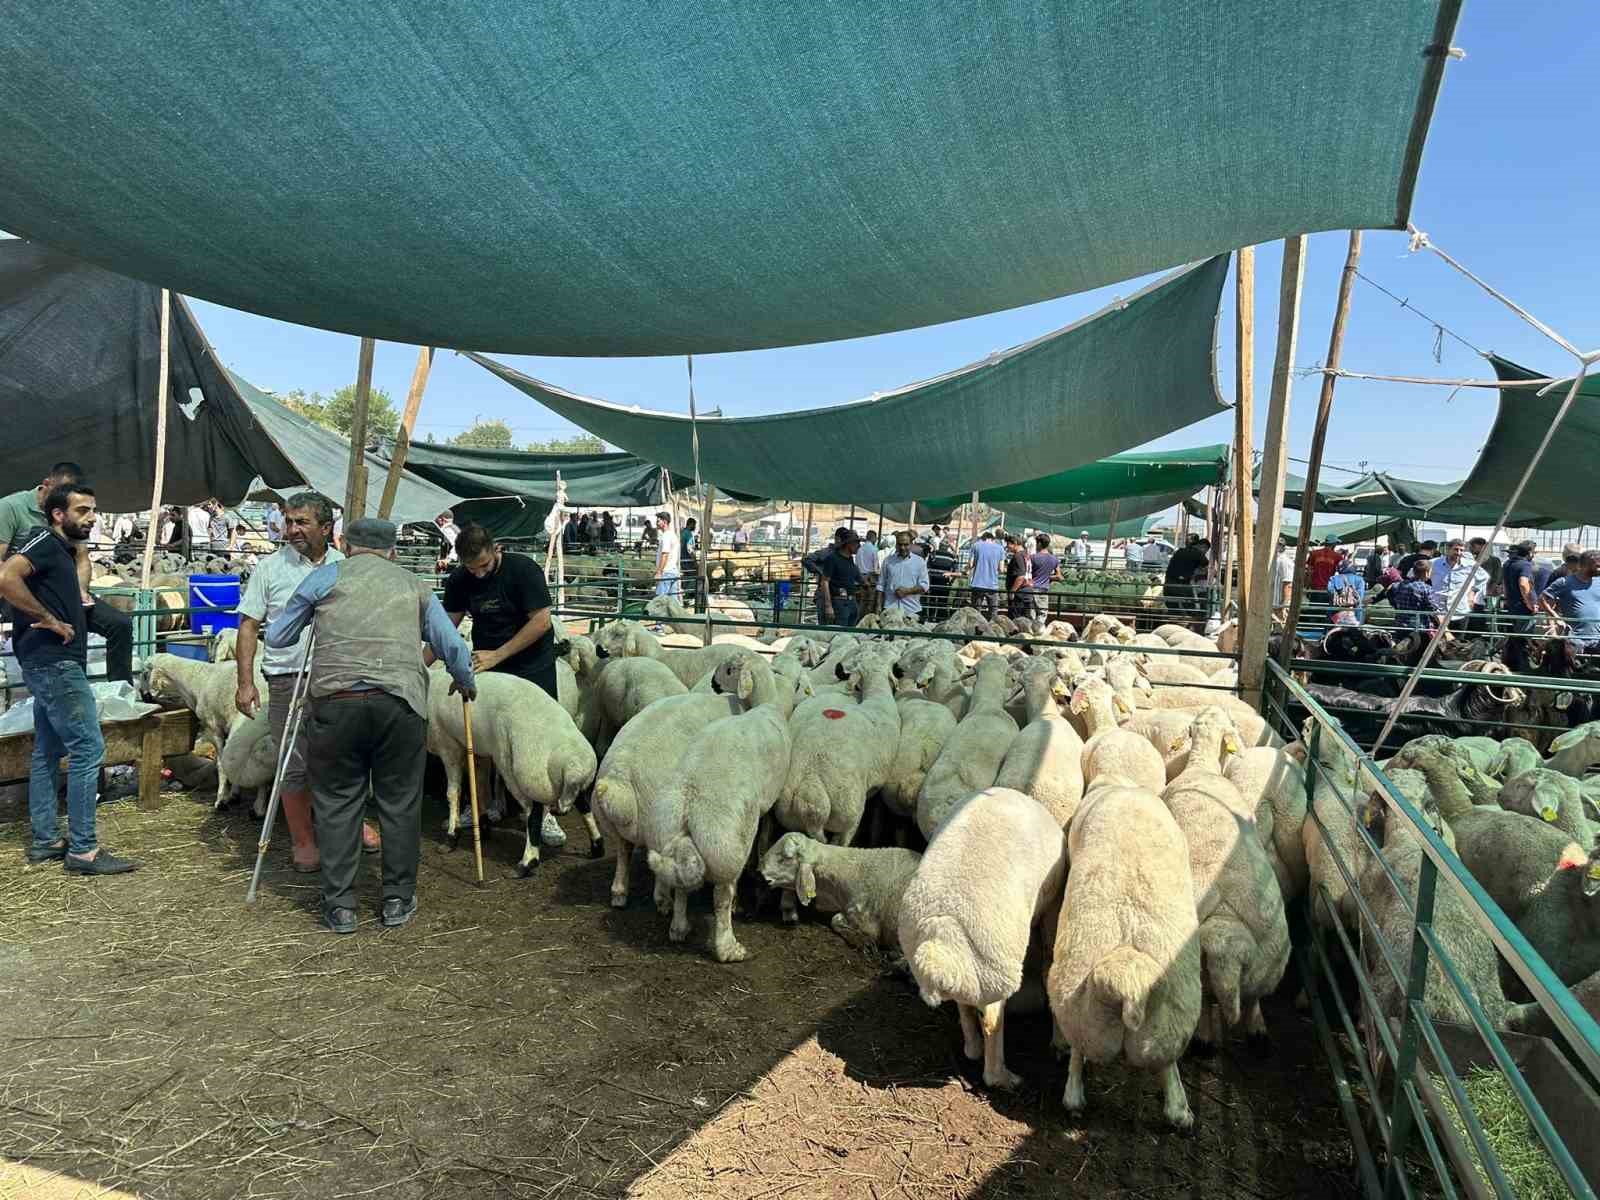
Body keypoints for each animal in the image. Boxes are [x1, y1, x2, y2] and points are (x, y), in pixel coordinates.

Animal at [425, 668, 601, 876]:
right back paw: (597, 846)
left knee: (534, 812)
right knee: (583, 802)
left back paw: (526, 864)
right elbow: (479, 789)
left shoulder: (448, 745)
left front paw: (452, 837)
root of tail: (574, 764)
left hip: (521, 772)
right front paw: (482, 827)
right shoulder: (478, 751)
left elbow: (454, 793)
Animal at [902, 793, 1062, 1094]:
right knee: (991, 1022)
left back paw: (972, 1048)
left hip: (975, 975)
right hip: (998, 973)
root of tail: (944, 938)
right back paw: (1002, 1076)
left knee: (963, 1004)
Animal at [1049, 780, 1203, 1126]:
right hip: (1168, 1025)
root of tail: (1130, 985)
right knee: (1166, 1064)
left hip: (1082, 1015)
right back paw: (1180, 1111)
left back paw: (1074, 1095)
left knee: (1078, 1055)